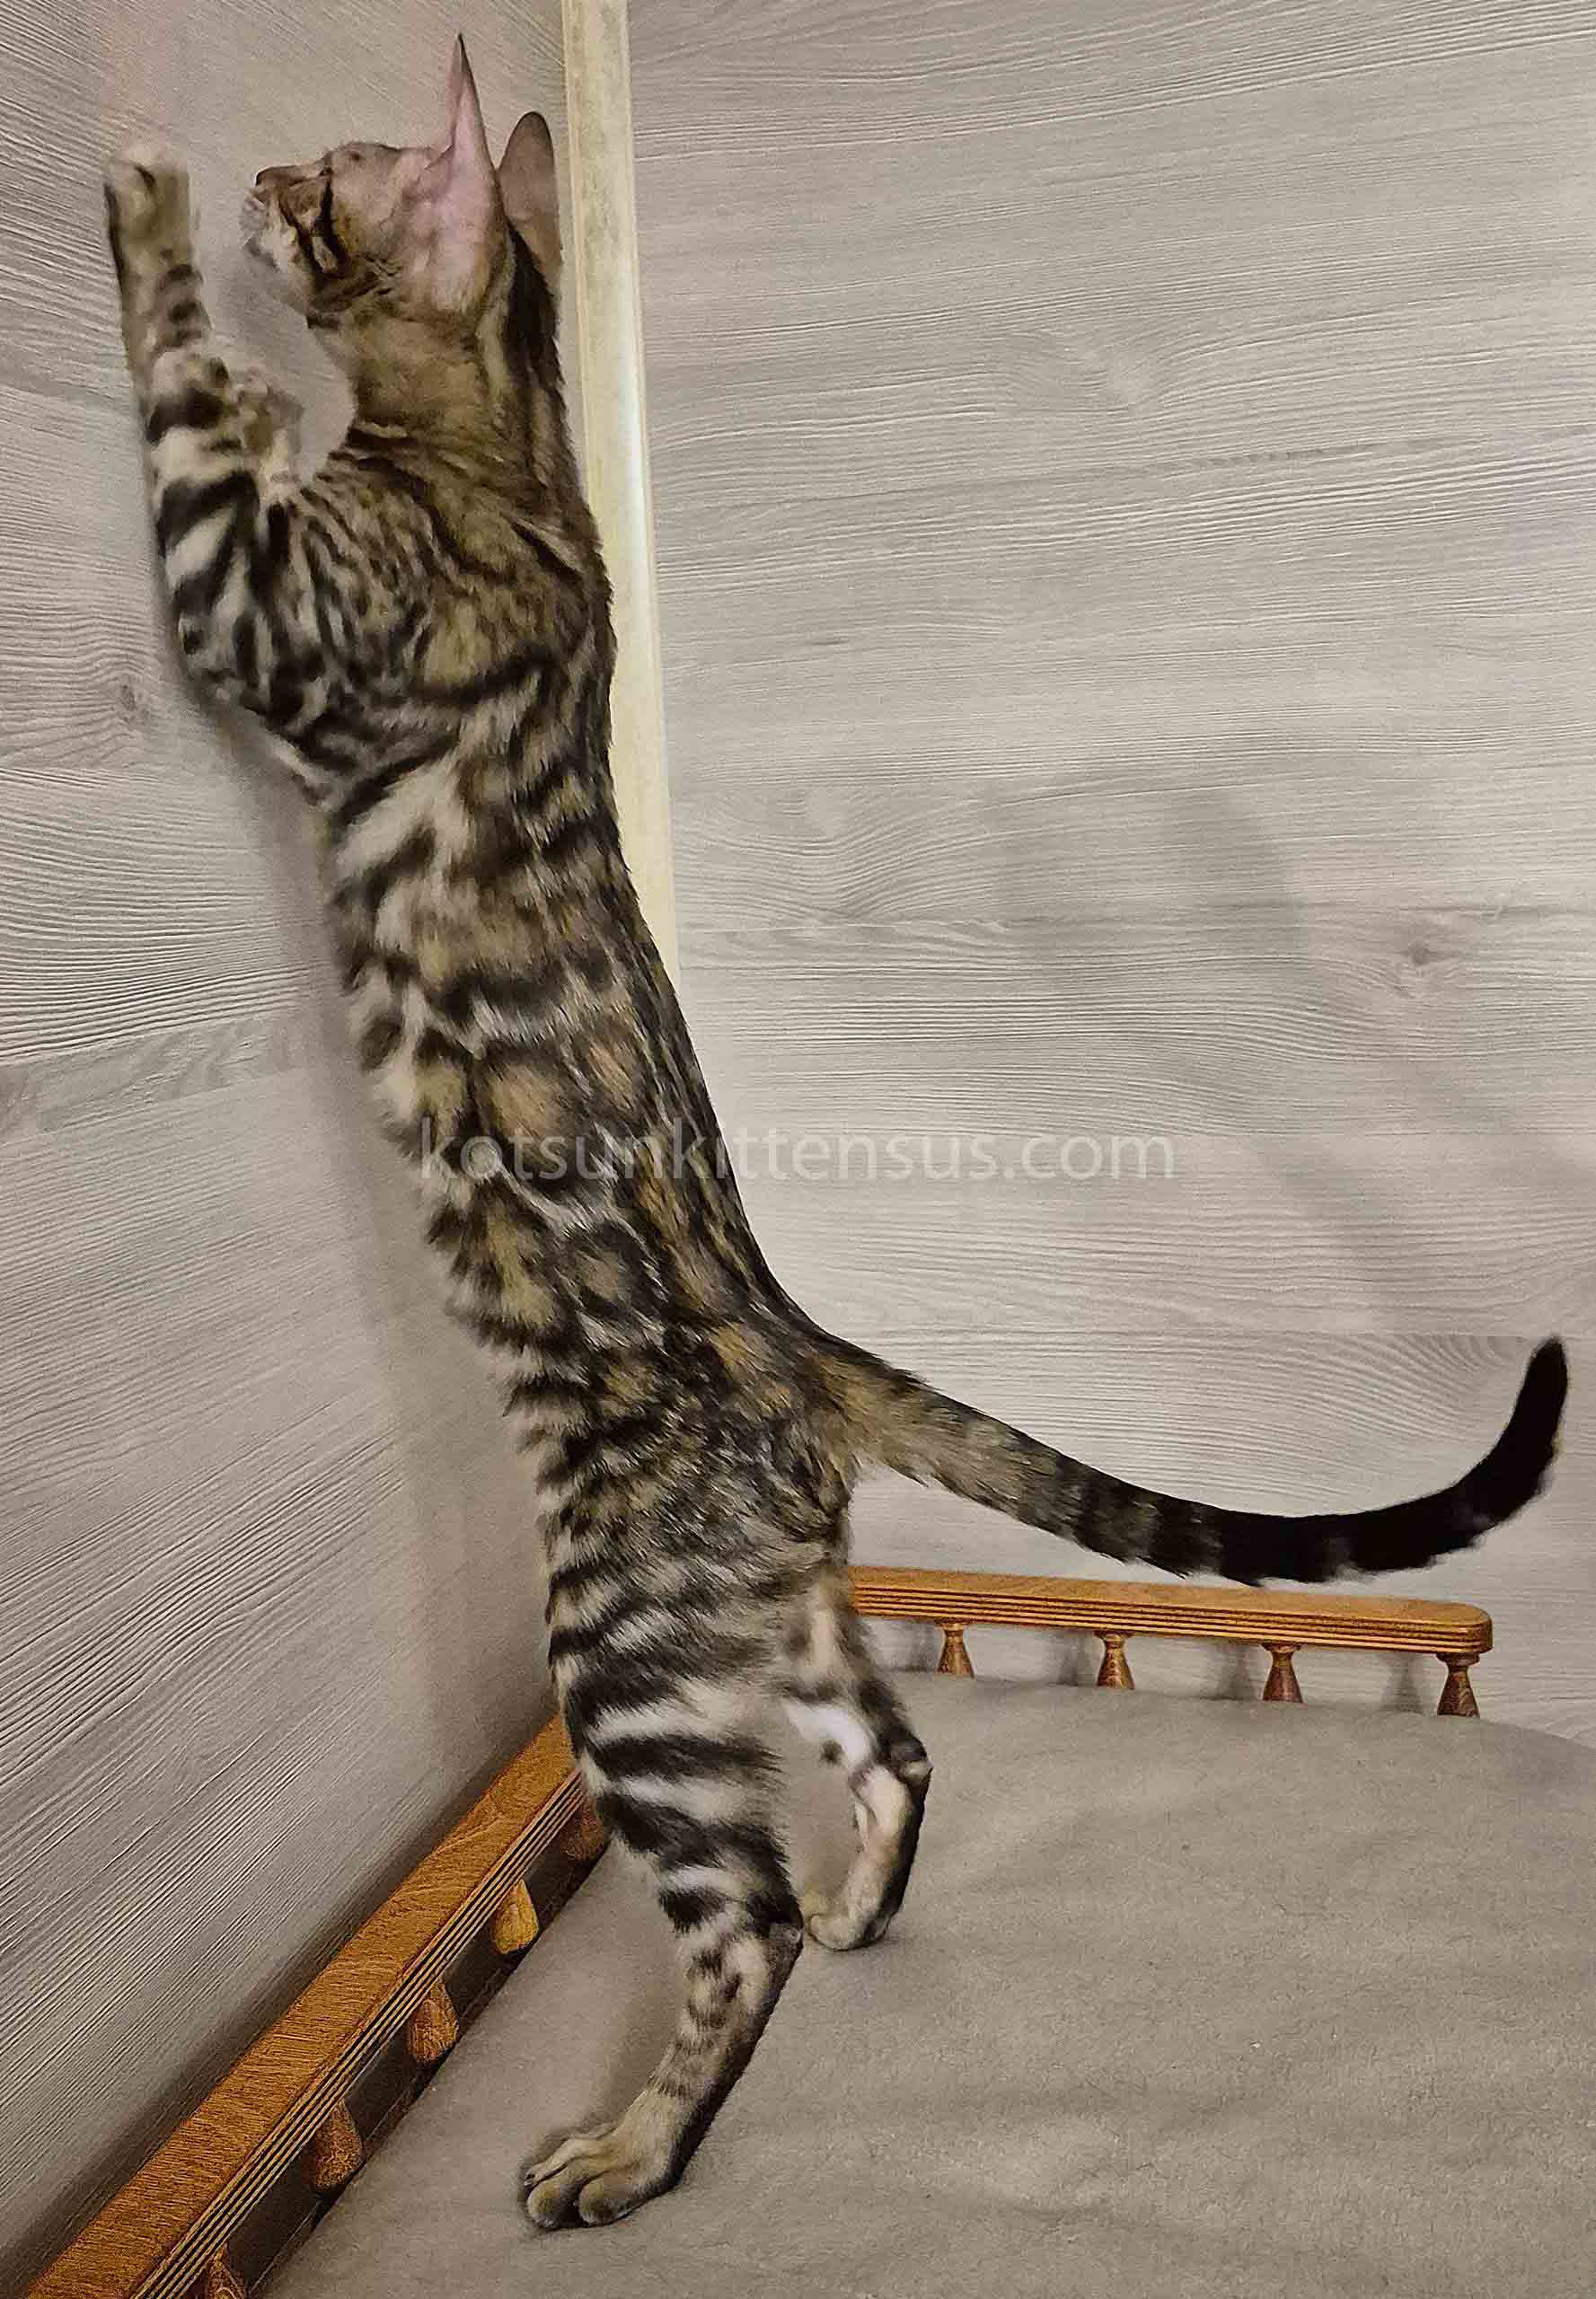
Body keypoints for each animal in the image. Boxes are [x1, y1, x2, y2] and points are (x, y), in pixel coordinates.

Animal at [104, 41, 1567, 2231]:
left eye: (332, 171)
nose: (267, 172)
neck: (523, 454)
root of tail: (801, 1350)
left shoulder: (264, 608)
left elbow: (195, 415)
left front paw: (144, 202)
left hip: (621, 1638)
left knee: (745, 1916)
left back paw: (631, 2152)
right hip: (765, 1618)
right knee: (898, 1753)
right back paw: (870, 1907)